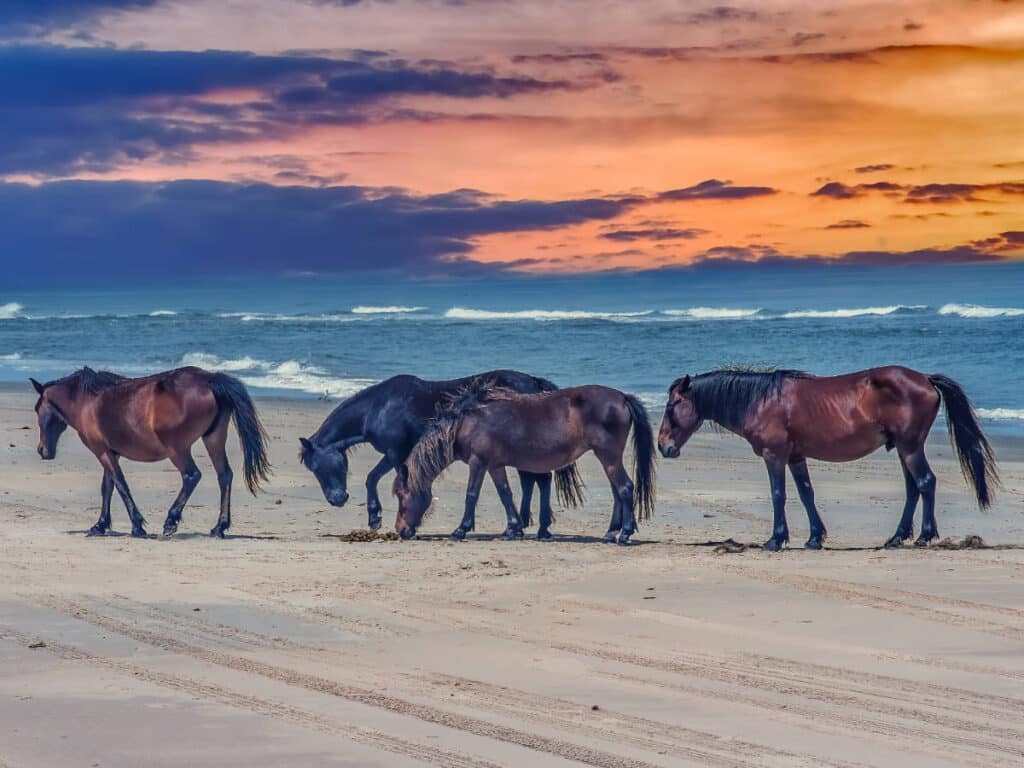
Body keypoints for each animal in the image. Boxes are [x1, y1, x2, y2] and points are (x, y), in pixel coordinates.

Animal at [31, 366, 271, 538]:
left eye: (37, 409)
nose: (42, 450)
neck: (87, 401)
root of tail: (210, 379)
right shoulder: (110, 452)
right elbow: (107, 487)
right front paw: (100, 525)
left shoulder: (102, 452)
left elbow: (120, 485)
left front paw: (137, 526)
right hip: (213, 439)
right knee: (224, 475)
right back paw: (219, 527)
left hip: (178, 450)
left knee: (191, 476)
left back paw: (171, 522)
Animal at [299, 370, 584, 536]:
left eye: (319, 467)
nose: (337, 499)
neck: (378, 408)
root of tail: (535, 382)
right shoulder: (395, 453)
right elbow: (377, 478)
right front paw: (378, 518)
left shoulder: (396, 453)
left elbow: (383, 479)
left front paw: (382, 518)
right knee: (532, 481)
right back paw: (528, 525)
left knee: (539, 480)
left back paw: (536, 526)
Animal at [393, 382, 656, 544]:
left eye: (400, 494)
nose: (400, 530)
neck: (467, 421)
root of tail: (622, 397)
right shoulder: (494, 465)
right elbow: (505, 493)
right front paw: (512, 528)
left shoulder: (479, 462)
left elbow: (472, 494)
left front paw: (461, 530)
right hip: (608, 458)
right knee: (617, 492)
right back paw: (611, 533)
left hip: (608, 456)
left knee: (625, 488)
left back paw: (624, 535)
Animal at [657, 367, 998, 551]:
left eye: (672, 406)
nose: (663, 446)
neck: (761, 400)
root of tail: (925, 379)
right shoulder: (795, 457)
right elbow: (806, 494)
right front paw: (814, 538)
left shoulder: (774, 456)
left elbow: (778, 494)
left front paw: (776, 540)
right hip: (903, 449)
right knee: (913, 488)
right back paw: (897, 537)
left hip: (910, 446)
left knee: (926, 482)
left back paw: (925, 536)